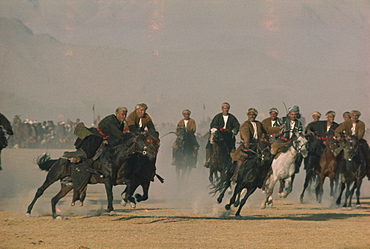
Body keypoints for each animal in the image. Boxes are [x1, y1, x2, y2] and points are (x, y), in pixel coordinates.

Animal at [24, 132, 160, 218]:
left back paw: (56, 216)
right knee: (40, 191)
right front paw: (111, 210)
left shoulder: (120, 179)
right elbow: (110, 195)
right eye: (144, 141)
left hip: (68, 185)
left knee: (54, 199)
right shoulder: (107, 180)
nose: (153, 151)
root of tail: (58, 160)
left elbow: (130, 184)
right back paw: (28, 212)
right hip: (53, 176)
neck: (115, 157)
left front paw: (127, 200)